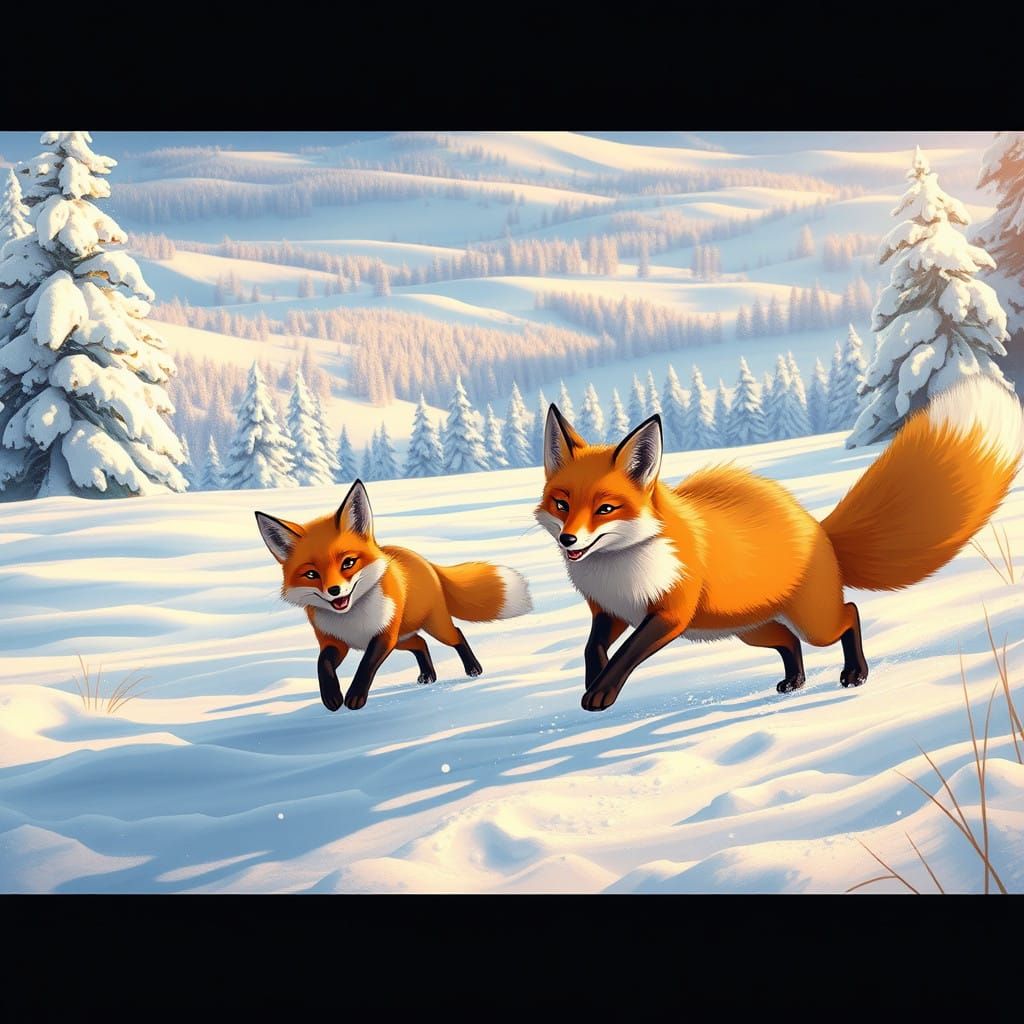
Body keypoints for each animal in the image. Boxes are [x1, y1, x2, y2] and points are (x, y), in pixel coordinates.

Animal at [256, 480, 532, 711]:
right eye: (311, 574)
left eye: (348, 563)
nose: (334, 591)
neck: (352, 619)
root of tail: (423, 560)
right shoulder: (335, 642)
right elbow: (322, 664)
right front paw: (332, 697)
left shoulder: (383, 636)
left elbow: (365, 665)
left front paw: (355, 697)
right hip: (403, 638)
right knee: (420, 643)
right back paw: (428, 676)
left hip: (432, 627)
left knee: (456, 634)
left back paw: (473, 669)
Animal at [535, 374, 1024, 712]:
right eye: (562, 503)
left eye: (605, 509)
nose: (569, 538)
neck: (621, 565)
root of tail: (817, 529)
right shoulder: (613, 610)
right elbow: (593, 648)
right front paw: (592, 680)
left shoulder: (669, 615)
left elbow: (627, 654)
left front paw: (600, 693)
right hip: (750, 630)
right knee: (789, 641)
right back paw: (795, 682)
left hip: (812, 622)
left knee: (849, 614)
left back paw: (855, 673)